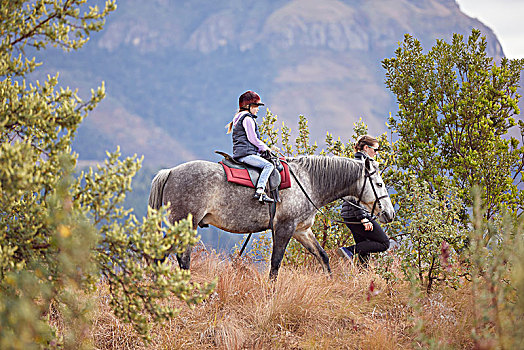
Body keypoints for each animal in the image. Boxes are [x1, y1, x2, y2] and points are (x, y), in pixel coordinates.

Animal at [147, 156, 392, 278]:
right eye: (379, 184)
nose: (389, 213)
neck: (308, 181)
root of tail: (170, 172)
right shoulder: (285, 228)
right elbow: (275, 264)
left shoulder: (302, 230)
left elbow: (323, 257)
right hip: (184, 225)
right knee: (174, 256)